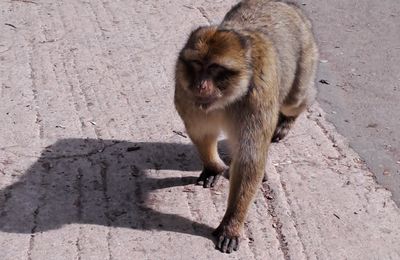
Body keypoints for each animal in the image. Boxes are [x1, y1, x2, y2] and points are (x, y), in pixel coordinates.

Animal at [173, 0, 318, 253]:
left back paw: (288, 120)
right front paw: (213, 167)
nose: (200, 85)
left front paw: (231, 224)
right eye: (197, 64)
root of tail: (285, 4)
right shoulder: (185, 92)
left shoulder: (257, 100)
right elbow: (202, 133)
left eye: (215, 69)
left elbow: (249, 159)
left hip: (305, 57)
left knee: (296, 101)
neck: (228, 98)